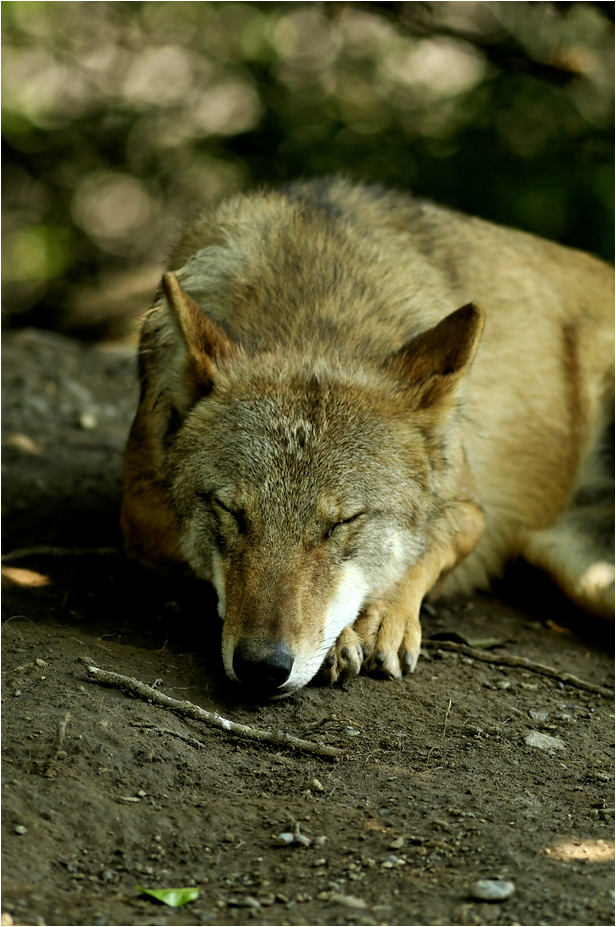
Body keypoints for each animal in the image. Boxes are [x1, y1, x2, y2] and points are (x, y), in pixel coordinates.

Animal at [121, 178, 614, 695]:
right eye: (232, 513)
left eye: (343, 522)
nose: (262, 667)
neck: (317, 310)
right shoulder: (139, 511)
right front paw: (342, 636)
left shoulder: (470, 510)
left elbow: (421, 551)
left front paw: (381, 617)